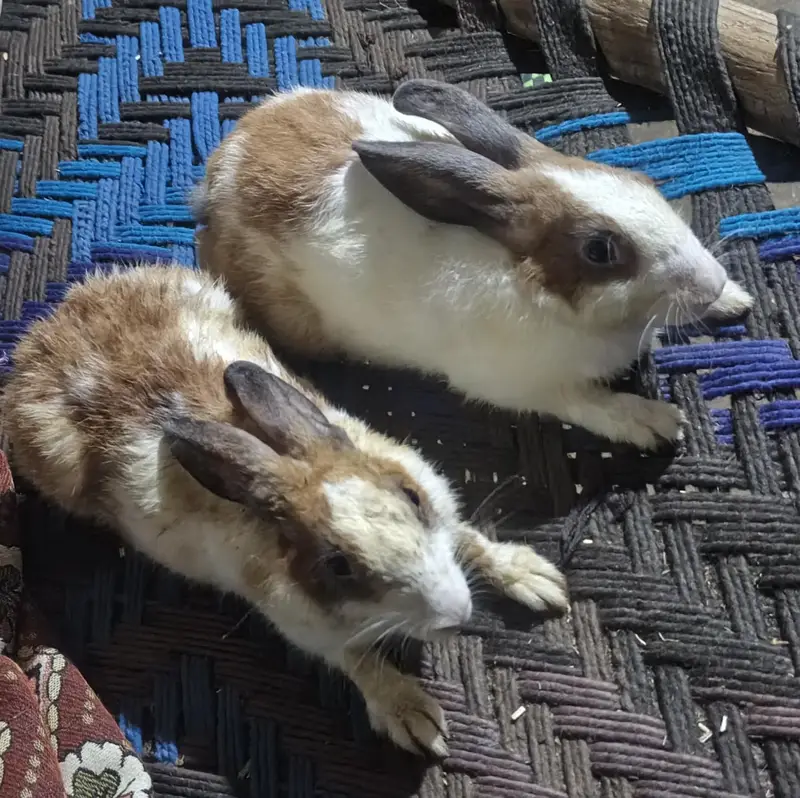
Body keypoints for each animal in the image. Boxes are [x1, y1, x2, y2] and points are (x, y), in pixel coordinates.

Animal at [4, 264, 567, 757]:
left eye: (410, 496)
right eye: (337, 567)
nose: (458, 614)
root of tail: (51, 327)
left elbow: (468, 536)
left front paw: (535, 579)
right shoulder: (308, 628)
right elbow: (359, 660)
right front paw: (414, 716)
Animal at [195, 79, 753, 451]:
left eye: (642, 182)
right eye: (600, 250)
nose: (710, 283)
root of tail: (220, 173)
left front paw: (735, 298)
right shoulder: (525, 385)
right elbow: (591, 405)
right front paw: (658, 422)